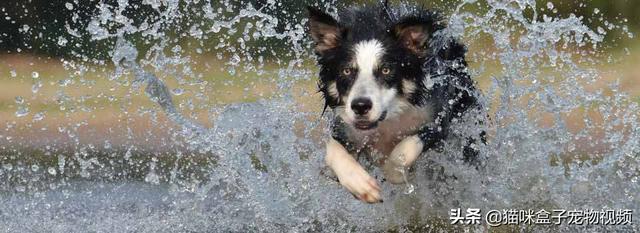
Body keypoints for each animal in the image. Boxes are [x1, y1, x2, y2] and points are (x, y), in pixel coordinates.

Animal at [308, 2, 482, 203]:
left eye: (386, 70)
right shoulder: (344, 127)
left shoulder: (438, 119)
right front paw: (360, 184)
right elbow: (332, 150)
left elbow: (405, 149)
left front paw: (396, 173)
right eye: (346, 71)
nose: (360, 106)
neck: (388, 119)